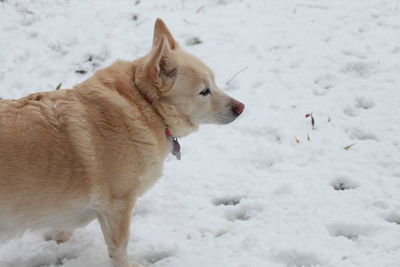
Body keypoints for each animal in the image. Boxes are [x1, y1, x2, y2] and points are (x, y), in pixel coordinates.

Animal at [0, 19, 244, 267]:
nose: (241, 107)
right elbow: (119, 246)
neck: (145, 104)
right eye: (204, 91)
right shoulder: (118, 204)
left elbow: (64, 229)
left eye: (214, 82)